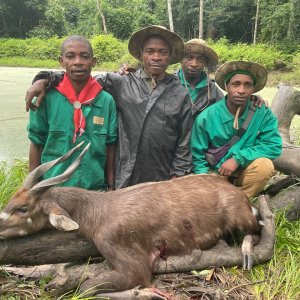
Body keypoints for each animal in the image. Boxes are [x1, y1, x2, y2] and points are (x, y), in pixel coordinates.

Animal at [0, 142, 262, 296]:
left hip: (240, 218)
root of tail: (238, 194)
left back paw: (247, 253)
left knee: (258, 228)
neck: (96, 211)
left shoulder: (130, 262)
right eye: (13, 198)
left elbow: (86, 287)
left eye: (23, 209)